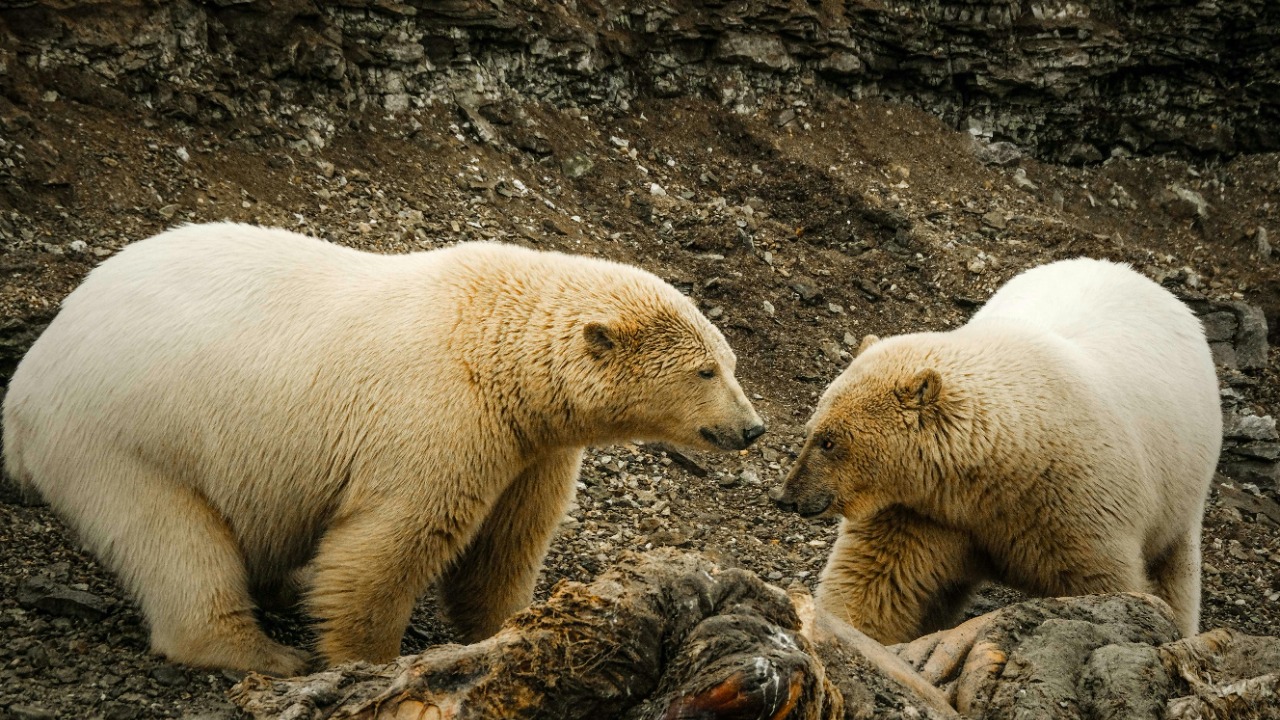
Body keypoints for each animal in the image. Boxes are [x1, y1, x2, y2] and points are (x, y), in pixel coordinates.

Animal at [2, 222, 766, 676]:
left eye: (731, 362)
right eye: (706, 371)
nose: (752, 428)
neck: (493, 346)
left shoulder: (532, 445)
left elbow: (507, 543)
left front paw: (511, 626)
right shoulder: (437, 417)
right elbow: (391, 544)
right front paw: (367, 661)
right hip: (123, 435)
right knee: (172, 539)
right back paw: (262, 652)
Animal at [770, 257, 1220, 644]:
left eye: (830, 441)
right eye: (810, 431)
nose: (786, 496)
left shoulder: (1076, 505)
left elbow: (1104, 581)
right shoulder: (925, 509)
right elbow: (877, 577)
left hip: (1182, 480)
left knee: (1176, 566)